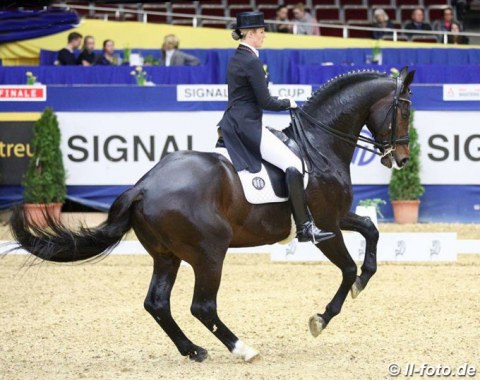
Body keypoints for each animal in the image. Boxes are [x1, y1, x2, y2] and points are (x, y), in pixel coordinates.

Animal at [12, 67, 416, 362]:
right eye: (405, 110)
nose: (401, 159)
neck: (318, 144)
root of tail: (144, 186)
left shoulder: (339, 216)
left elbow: (371, 229)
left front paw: (364, 280)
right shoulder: (326, 226)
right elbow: (346, 267)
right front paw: (322, 318)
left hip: (167, 255)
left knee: (157, 303)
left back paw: (193, 351)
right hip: (209, 253)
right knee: (202, 306)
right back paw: (243, 349)